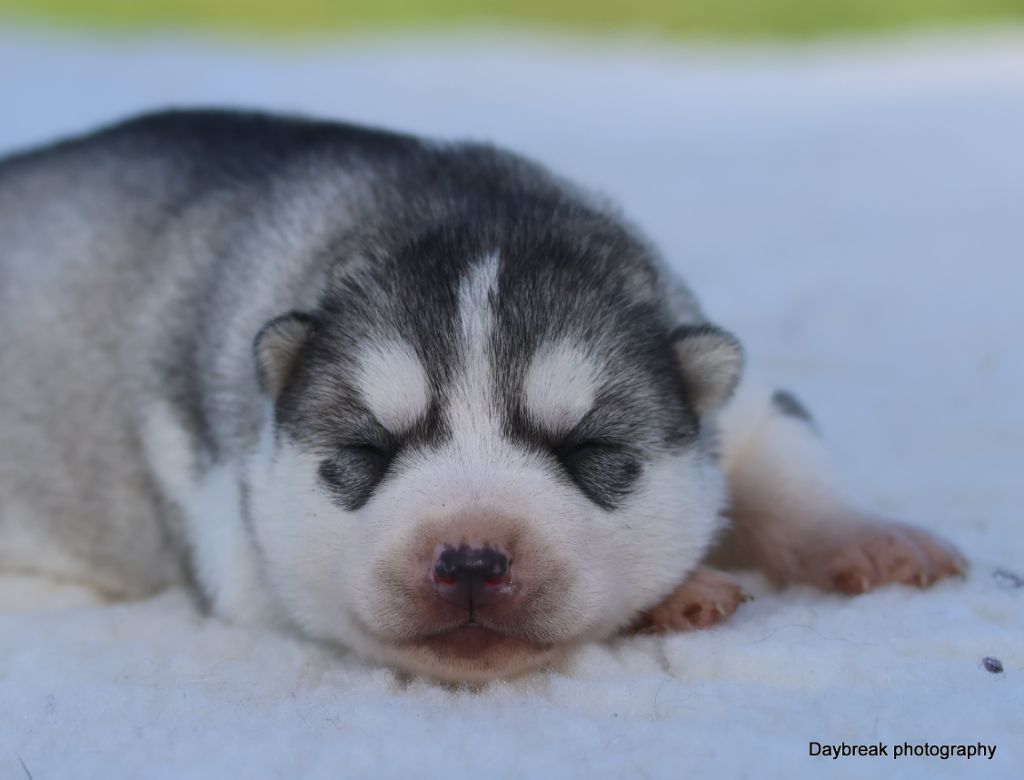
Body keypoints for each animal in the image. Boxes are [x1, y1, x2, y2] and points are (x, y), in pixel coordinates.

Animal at [0, 110, 965, 682]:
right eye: (364, 454)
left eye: (591, 452)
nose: (469, 560)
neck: (472, 208)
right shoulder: (235, 537)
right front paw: (680, 588)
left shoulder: (737, 399)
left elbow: (788, 460)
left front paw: (875, 540)